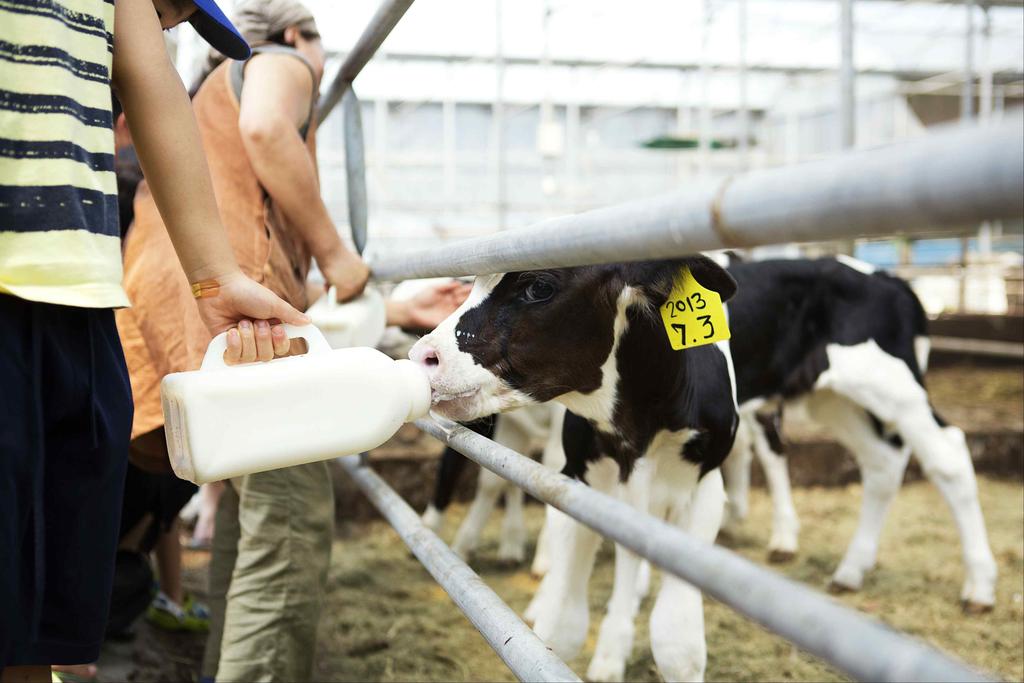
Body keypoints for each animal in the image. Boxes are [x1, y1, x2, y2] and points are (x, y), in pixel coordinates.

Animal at [411, 258, 741, 683]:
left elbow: (677, 644)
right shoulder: (576, 484)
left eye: (539, 286)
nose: (423, 355)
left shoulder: (703, 489)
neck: (635, 439)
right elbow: (560, 629)